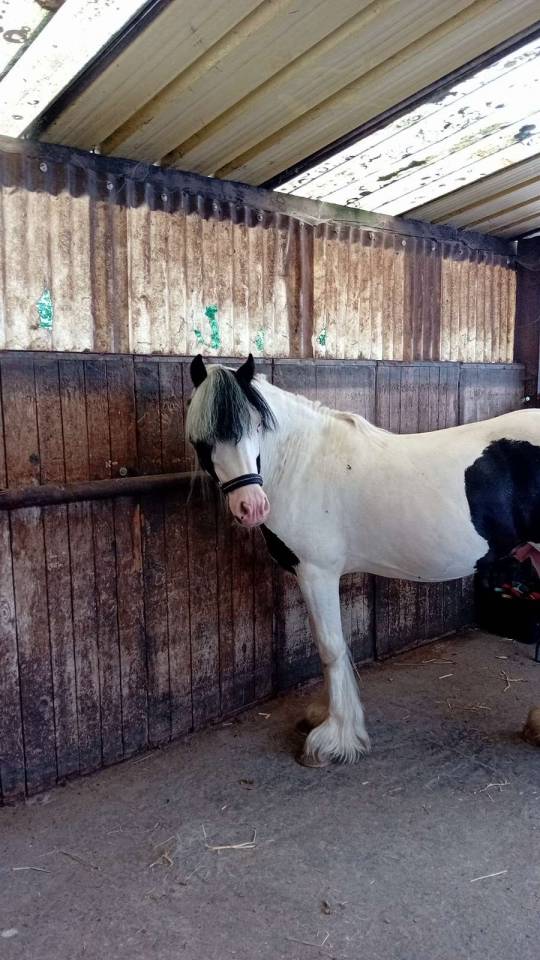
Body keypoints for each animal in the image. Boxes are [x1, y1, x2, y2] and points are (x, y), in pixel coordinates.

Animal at [186, 353, 540, 767]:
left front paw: (335, 739)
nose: (251, 506)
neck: (303, 464)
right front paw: (324, 717)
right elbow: (327, 644)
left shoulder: (317, 573)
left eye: (256, 426)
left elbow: (331, 646)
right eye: (202, 438)